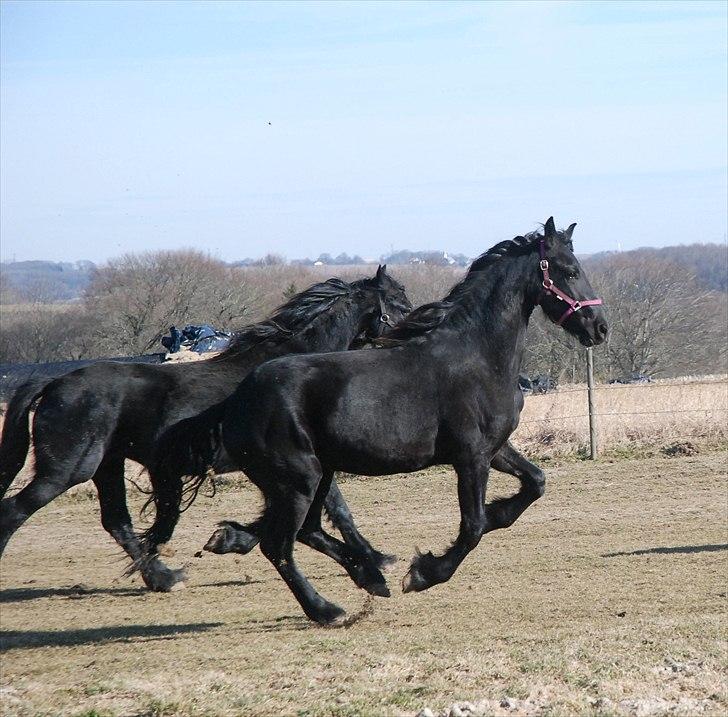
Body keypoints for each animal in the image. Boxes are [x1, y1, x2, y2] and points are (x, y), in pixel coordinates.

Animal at [0, 266, 410, 592]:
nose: (408, 339)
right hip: (66, 471)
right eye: (399, 303)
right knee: (14, 511)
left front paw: (376, 557)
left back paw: (164, 578)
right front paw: (374, 559)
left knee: (116, 522)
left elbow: (334, 510)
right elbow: (334, 507)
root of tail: (55, 382)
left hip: (107, 466)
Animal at [175, 217, 608, 620]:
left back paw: (366, 576)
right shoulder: (470, 457)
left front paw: (495, 515)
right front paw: (422, 574)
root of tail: (238, 399)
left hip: (316, 475)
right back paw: (327, 609)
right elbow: (472, 527)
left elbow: (534, 484)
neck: (479, 357)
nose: (600, 328)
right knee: (279, 544)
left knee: (307, 530)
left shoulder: (495, 449)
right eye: (569, 270)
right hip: (298, 479)